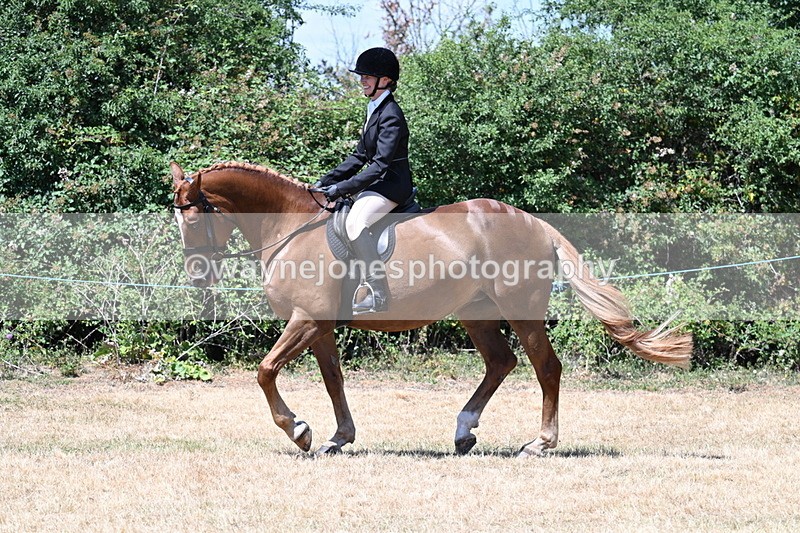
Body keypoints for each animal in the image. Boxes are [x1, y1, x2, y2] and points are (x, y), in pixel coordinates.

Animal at [170, 161, 692, 458]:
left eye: (192, 220)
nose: (197, 276)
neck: (290, 228)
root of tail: (535, 223)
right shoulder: (320, 327)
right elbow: (333, 379)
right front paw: (339, 437)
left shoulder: (307, 320)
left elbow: (265, 371)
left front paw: (298, 431)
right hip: (476, 311)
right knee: (501, 362)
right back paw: (464, 433)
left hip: (519, 308)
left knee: (546, 367)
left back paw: (539, 443)